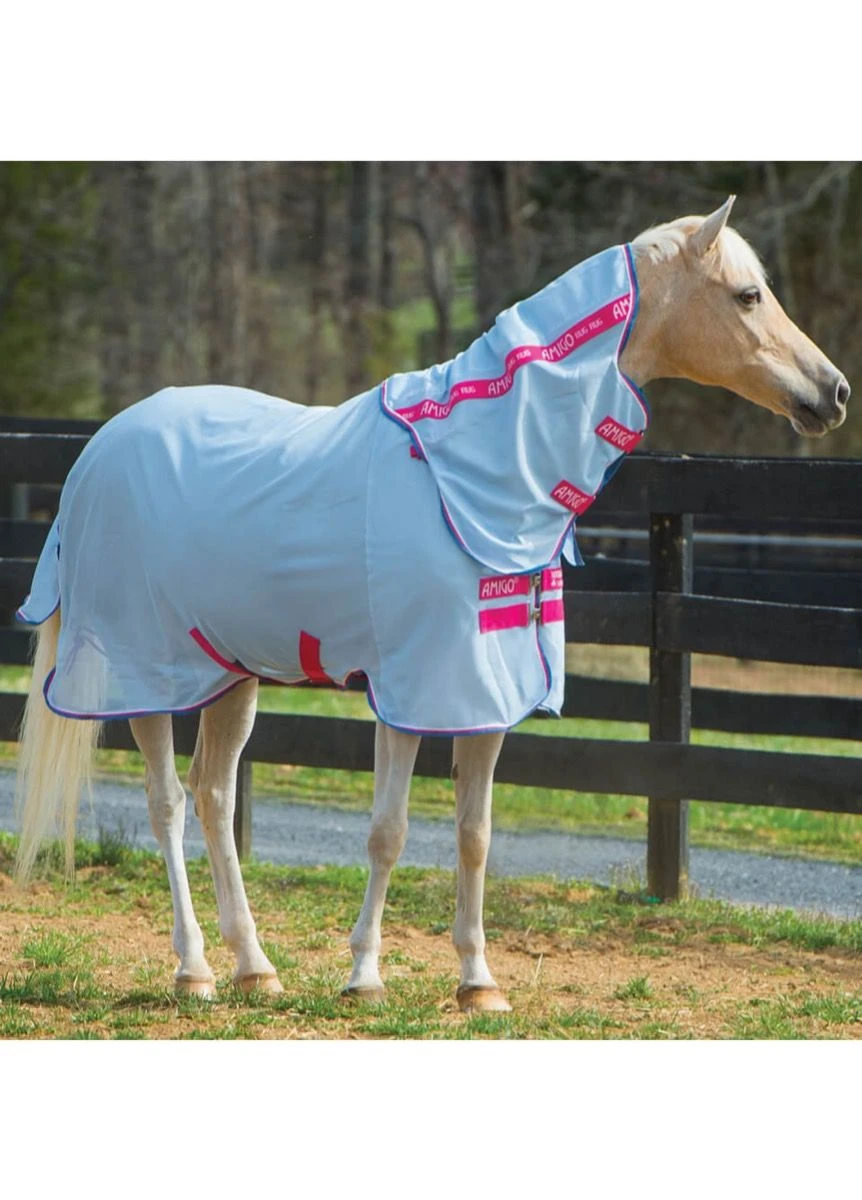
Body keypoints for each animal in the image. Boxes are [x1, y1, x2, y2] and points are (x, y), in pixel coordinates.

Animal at [13, 195, 850, 1014]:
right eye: (748, 295)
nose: (834, 392)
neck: (473, 472)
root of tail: (98, 452)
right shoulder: (411, 691)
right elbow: (389, 830)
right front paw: (365, 976)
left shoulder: (483, 695)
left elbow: (474, 833)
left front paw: (479, 982)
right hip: (140, 675)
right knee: (166, 804)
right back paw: (195, 971)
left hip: (229, 672)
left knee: (215, 797)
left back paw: (255, 968)